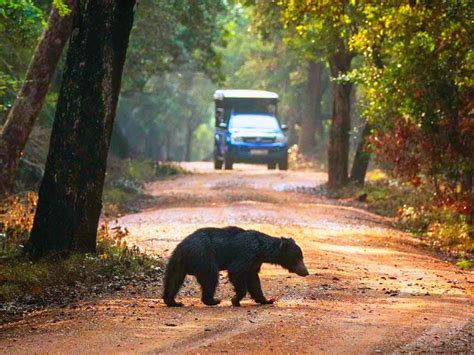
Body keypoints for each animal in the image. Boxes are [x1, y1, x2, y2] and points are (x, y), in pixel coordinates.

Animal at [163, 227, 312, 308]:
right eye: (298, 258)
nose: (306, 272)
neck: (263, 251)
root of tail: (183, 247)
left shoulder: (255, 262)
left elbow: (254, 281)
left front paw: (267, 300)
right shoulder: (247, 253)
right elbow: (236, 271)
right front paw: (235, 299)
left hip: (177, 261)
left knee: (173, 279)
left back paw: (173, 301)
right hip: (204, 255)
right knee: (210, 277)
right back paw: (213, 300)